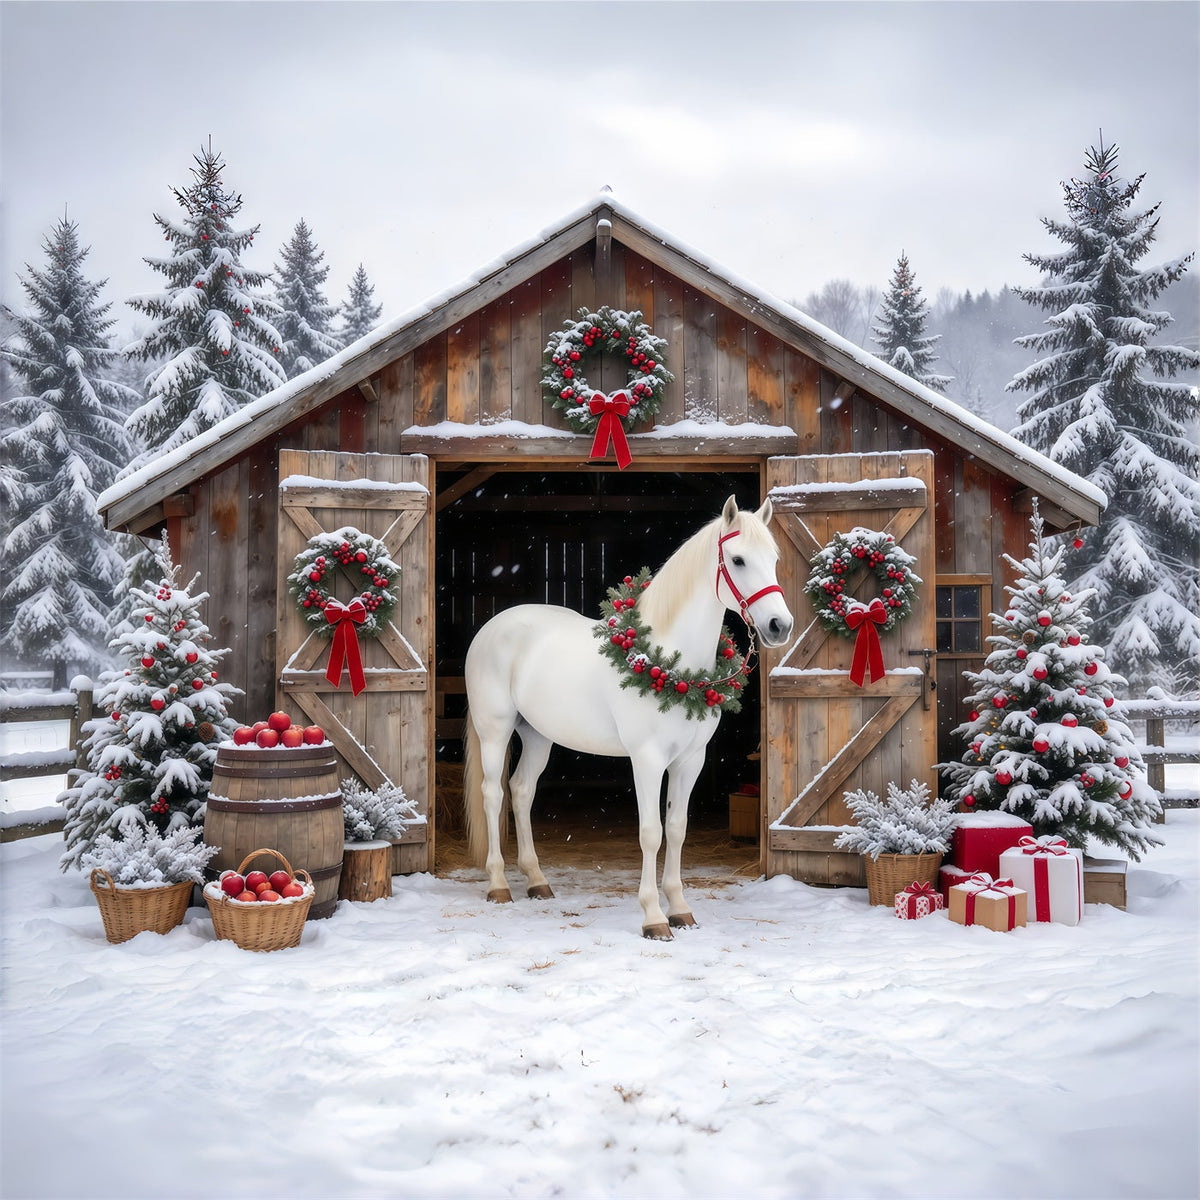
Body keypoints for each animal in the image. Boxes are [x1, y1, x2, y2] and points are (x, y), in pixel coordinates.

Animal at [462, 495, 793, 939]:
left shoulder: (690, 760)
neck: (670, 662)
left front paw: (680, 909)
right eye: (738, 560)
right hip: (495, 732)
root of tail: (492, 627)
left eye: (773, 559)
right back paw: (498, 884)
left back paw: (537, 881)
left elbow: (677, 828)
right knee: (493, 794)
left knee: (521, 791)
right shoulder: (647, 759)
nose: (779, 626)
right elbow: (651, 833)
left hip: (537, 735)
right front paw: (653, 916)